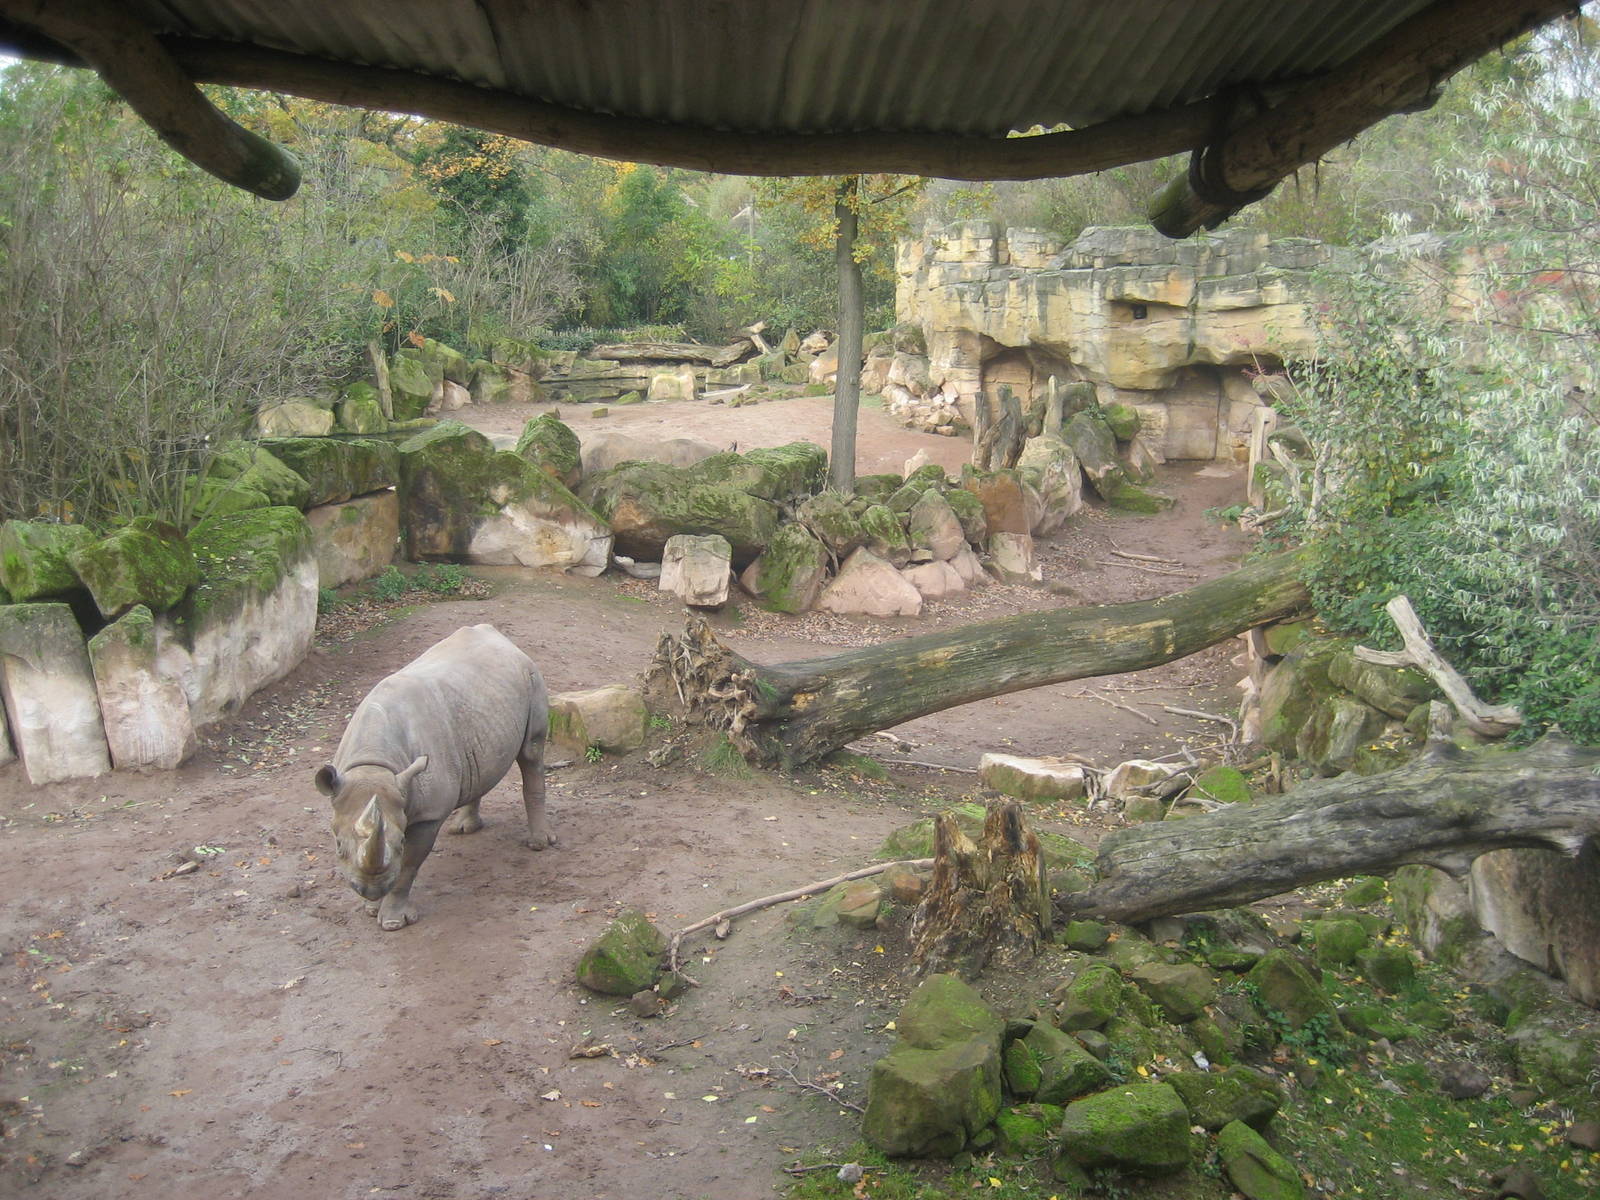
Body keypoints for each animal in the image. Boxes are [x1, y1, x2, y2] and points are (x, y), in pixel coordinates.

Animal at [315, 623, 550, 930]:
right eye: (338, 845)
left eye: (400, 843)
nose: (370, 889)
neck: (374, 765)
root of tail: (499, 636)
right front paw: (371, 907)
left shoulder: (429, 814)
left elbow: (407, 867)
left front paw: (393, 921)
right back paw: (464, 828)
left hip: (531, 676)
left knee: (531, 753)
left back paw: (539, 844)